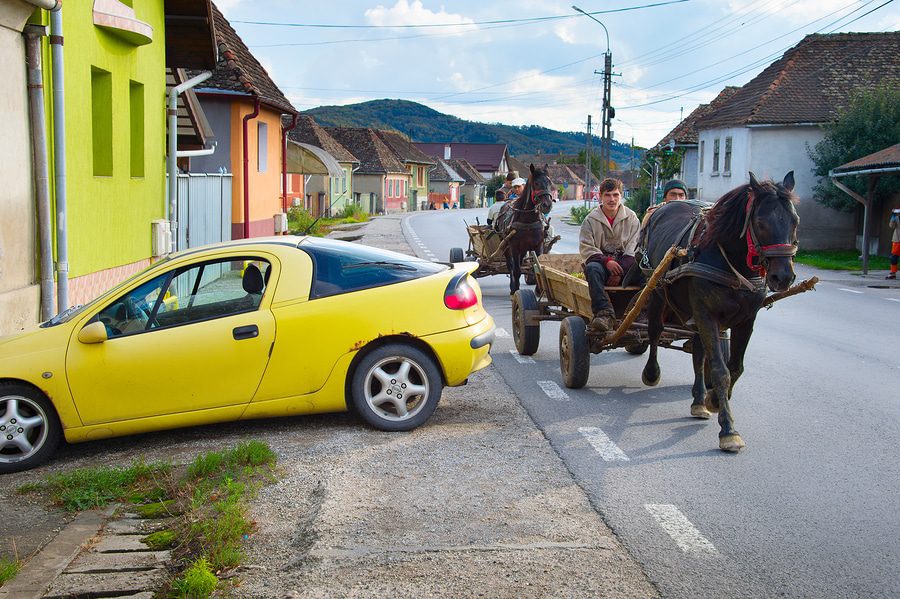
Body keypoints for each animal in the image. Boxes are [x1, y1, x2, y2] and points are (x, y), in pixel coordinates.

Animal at [496, 164, 552, 296]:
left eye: (549, 182)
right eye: (536, 183)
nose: (547, 205)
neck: (528, 220)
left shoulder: (538, 246)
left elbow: (536, 266)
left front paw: (539, 289)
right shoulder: (514, 246)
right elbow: (516, 270)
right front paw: (516, 289)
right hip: (506, 245)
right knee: (511, 265)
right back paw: (512, 287)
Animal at [636, 171, 800, 452]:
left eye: (795, 221)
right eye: (760, 222)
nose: (783, 276)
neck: (732, 261)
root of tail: (666, 206)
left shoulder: (746, 319)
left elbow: (734, 367)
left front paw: (712, 400)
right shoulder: (706, 314)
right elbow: (720, 371)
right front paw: (728, 430)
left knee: (698, 352)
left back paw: (698, 400)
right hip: (657, 292)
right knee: (655, 331)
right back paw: (652, 373)